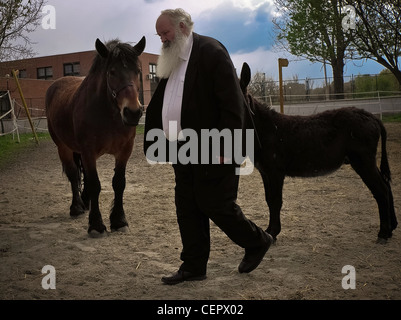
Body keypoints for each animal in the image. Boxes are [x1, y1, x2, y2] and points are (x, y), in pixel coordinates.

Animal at [45, 38, 145, 238]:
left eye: (137, 71)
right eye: (112, 72)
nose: (133, 112)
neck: (108, 114)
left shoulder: (125, 151)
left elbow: (118, 183)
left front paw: (119, 220)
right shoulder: (88, 152)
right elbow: (95, 184)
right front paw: (96, 224)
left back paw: (85, 202)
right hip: (63, 147)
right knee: (73, 174)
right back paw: (77, 206)